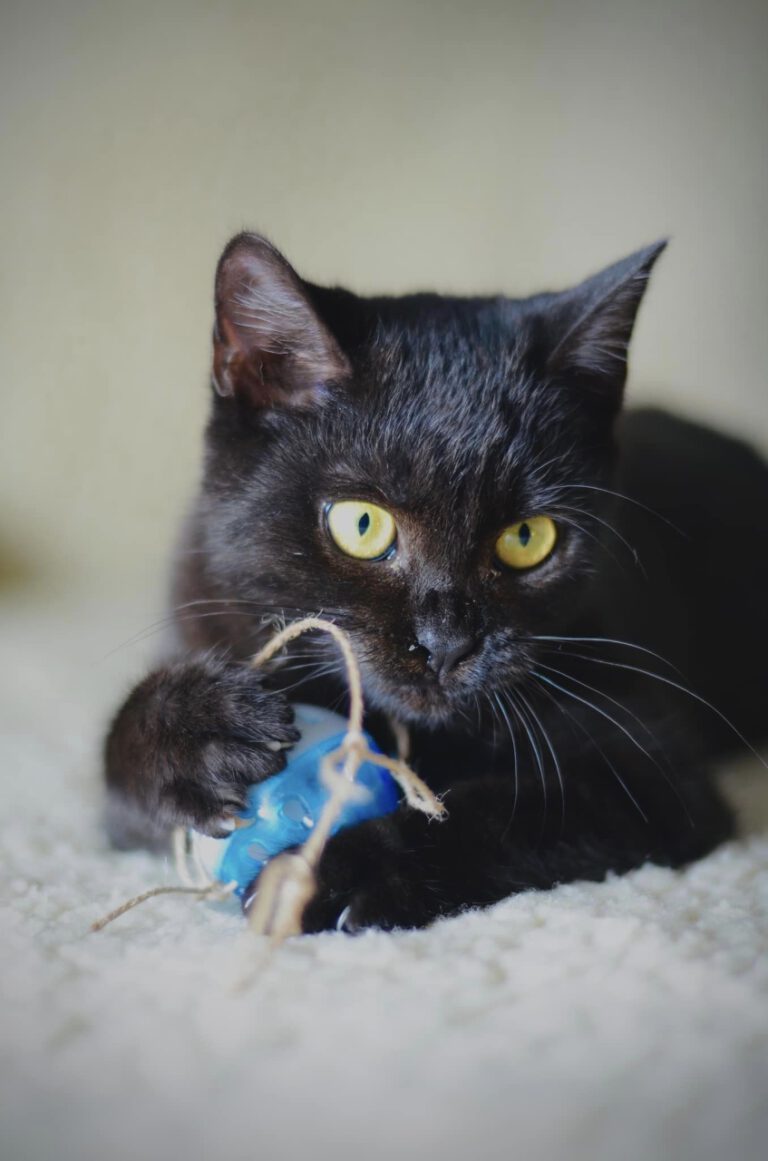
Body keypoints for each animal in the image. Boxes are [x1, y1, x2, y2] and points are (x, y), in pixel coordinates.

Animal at [103, 231, 766, 928]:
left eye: (528, 538)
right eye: (361, 524)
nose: (446, 642)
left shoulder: (652, 774)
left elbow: (498, 812)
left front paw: (338, 871)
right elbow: (117, 773)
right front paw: (195, 732)